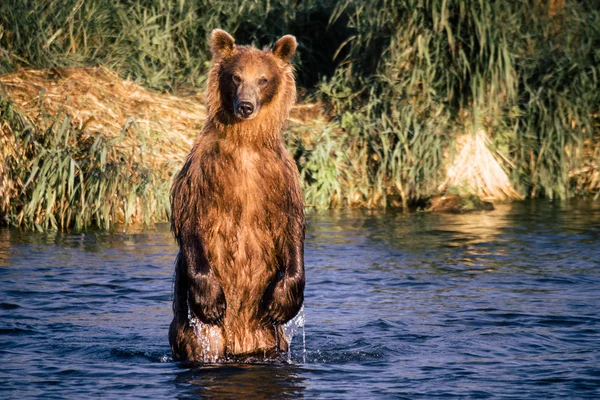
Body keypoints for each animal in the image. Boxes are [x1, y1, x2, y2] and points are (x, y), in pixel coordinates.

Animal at [169, 28, 308, 362]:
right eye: (235, 76)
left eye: (263, 79)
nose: (246, 105)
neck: (245, 142)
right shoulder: (202, 171)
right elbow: (190, 218)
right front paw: (211, 300)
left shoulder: (279, 176)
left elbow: (291, 226)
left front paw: (284, 300)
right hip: (202, 334)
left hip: (269, 336)